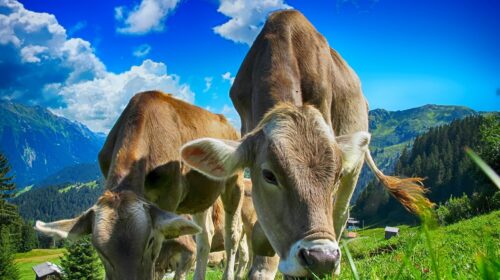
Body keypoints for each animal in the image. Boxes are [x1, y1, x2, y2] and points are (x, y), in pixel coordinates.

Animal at [35, 92, 246, 280]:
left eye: (150, 241)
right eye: (99, 251)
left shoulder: (168, 198)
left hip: (235, 182)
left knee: (232, 235)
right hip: (200, 195)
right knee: (205, 236)